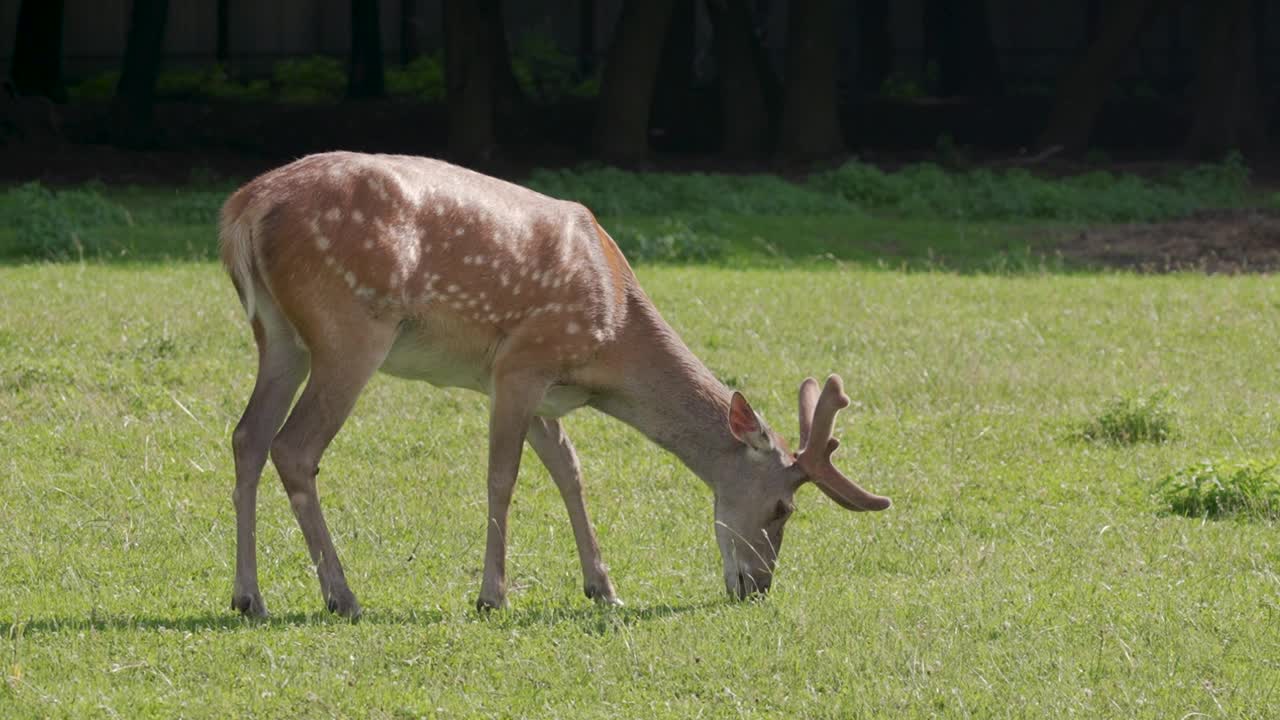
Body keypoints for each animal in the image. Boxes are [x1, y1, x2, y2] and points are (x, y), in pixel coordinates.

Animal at [220, 151, 890, 617]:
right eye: (783, 507)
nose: (757, 587)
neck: (612, 340)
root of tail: (242, 210)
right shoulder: (521, 362)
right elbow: (503, 477)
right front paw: (492, 596)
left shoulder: (540, 387)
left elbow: (570, 469)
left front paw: (603, 587)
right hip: (350, 327)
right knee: (294, 446)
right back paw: (342, 595)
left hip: (278, 334)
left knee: (247, 436)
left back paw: (249, 597)